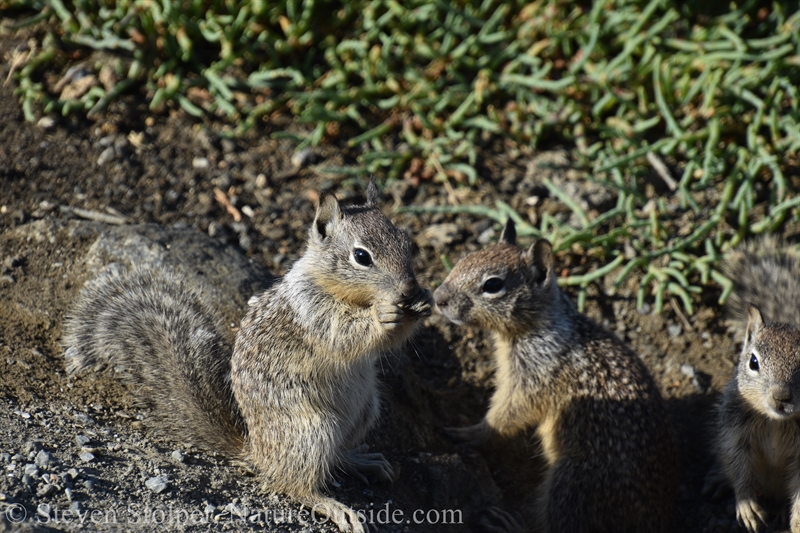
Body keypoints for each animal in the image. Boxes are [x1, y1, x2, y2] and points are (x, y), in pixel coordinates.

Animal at [61, 180, 432, 532]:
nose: (409, 289)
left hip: (363, 413)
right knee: (293, 483)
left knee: (334, 458)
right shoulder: (312, 311)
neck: (352, 296)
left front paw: (424, 301)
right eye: (361, 256)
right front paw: (383, 314)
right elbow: (345, 334)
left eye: (407, 242)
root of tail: (255, 451)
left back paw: (362, 461)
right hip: (311, 432)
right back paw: (334, 506)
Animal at [434, 219, 680, 532]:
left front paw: (467, 433)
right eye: (464, 259)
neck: (539, 327)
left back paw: (509, 523)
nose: (437, 298)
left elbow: (505, 416)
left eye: (493, 285)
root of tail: (657, 519)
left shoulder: (534, 379)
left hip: (570, 484)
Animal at [716, 237, 800, 532]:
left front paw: (797, 521)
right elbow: (738, 468)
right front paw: (747, 507)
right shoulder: (734, 433)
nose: (781, 396)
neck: (776, 422)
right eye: (753, 361)